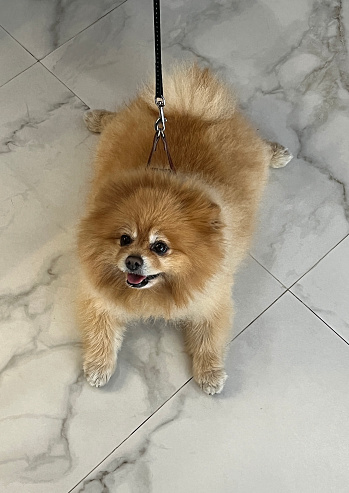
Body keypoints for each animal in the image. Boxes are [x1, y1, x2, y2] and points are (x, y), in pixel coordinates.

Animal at [77, 66, 290, 396]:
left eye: (160, 247)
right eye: (124, 239)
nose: (132, 261)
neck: (161, 292)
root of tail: (189, 108)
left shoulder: (211, 300)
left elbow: (209, 339)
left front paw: (210, 373)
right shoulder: (99, 295)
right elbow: (101, 330)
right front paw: (99, 366)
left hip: (253, 157)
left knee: (262, 149)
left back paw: (277, 153)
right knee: (114, 119)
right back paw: (97, 117)